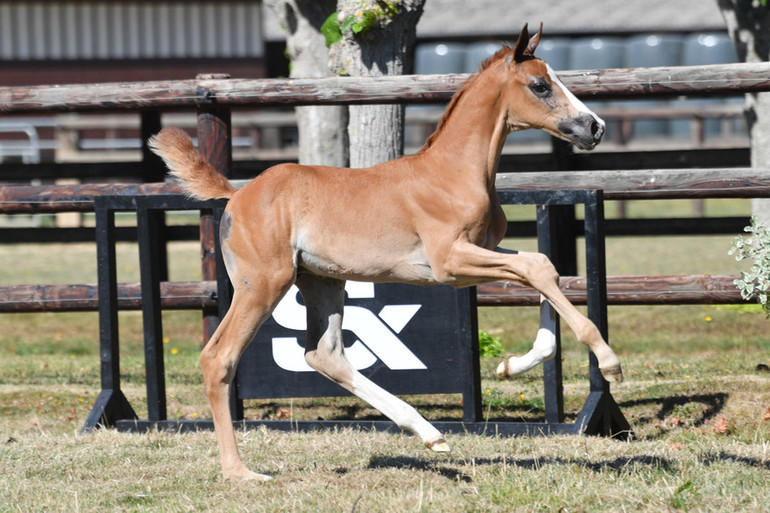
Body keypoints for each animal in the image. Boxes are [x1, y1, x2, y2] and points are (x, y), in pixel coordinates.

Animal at [148, 24, 616, 480]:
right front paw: (608, 361)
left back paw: (429, 433)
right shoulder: (449, 263)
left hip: (321, 282)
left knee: (324, 354)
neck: (453, 172)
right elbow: (537, 267)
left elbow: (544, 268)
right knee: (219, 357)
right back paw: (239, 472)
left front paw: (512, 366)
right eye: (540, 85)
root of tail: (236, 194)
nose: (595, 127)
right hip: (263, 284)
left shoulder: (479, 251)